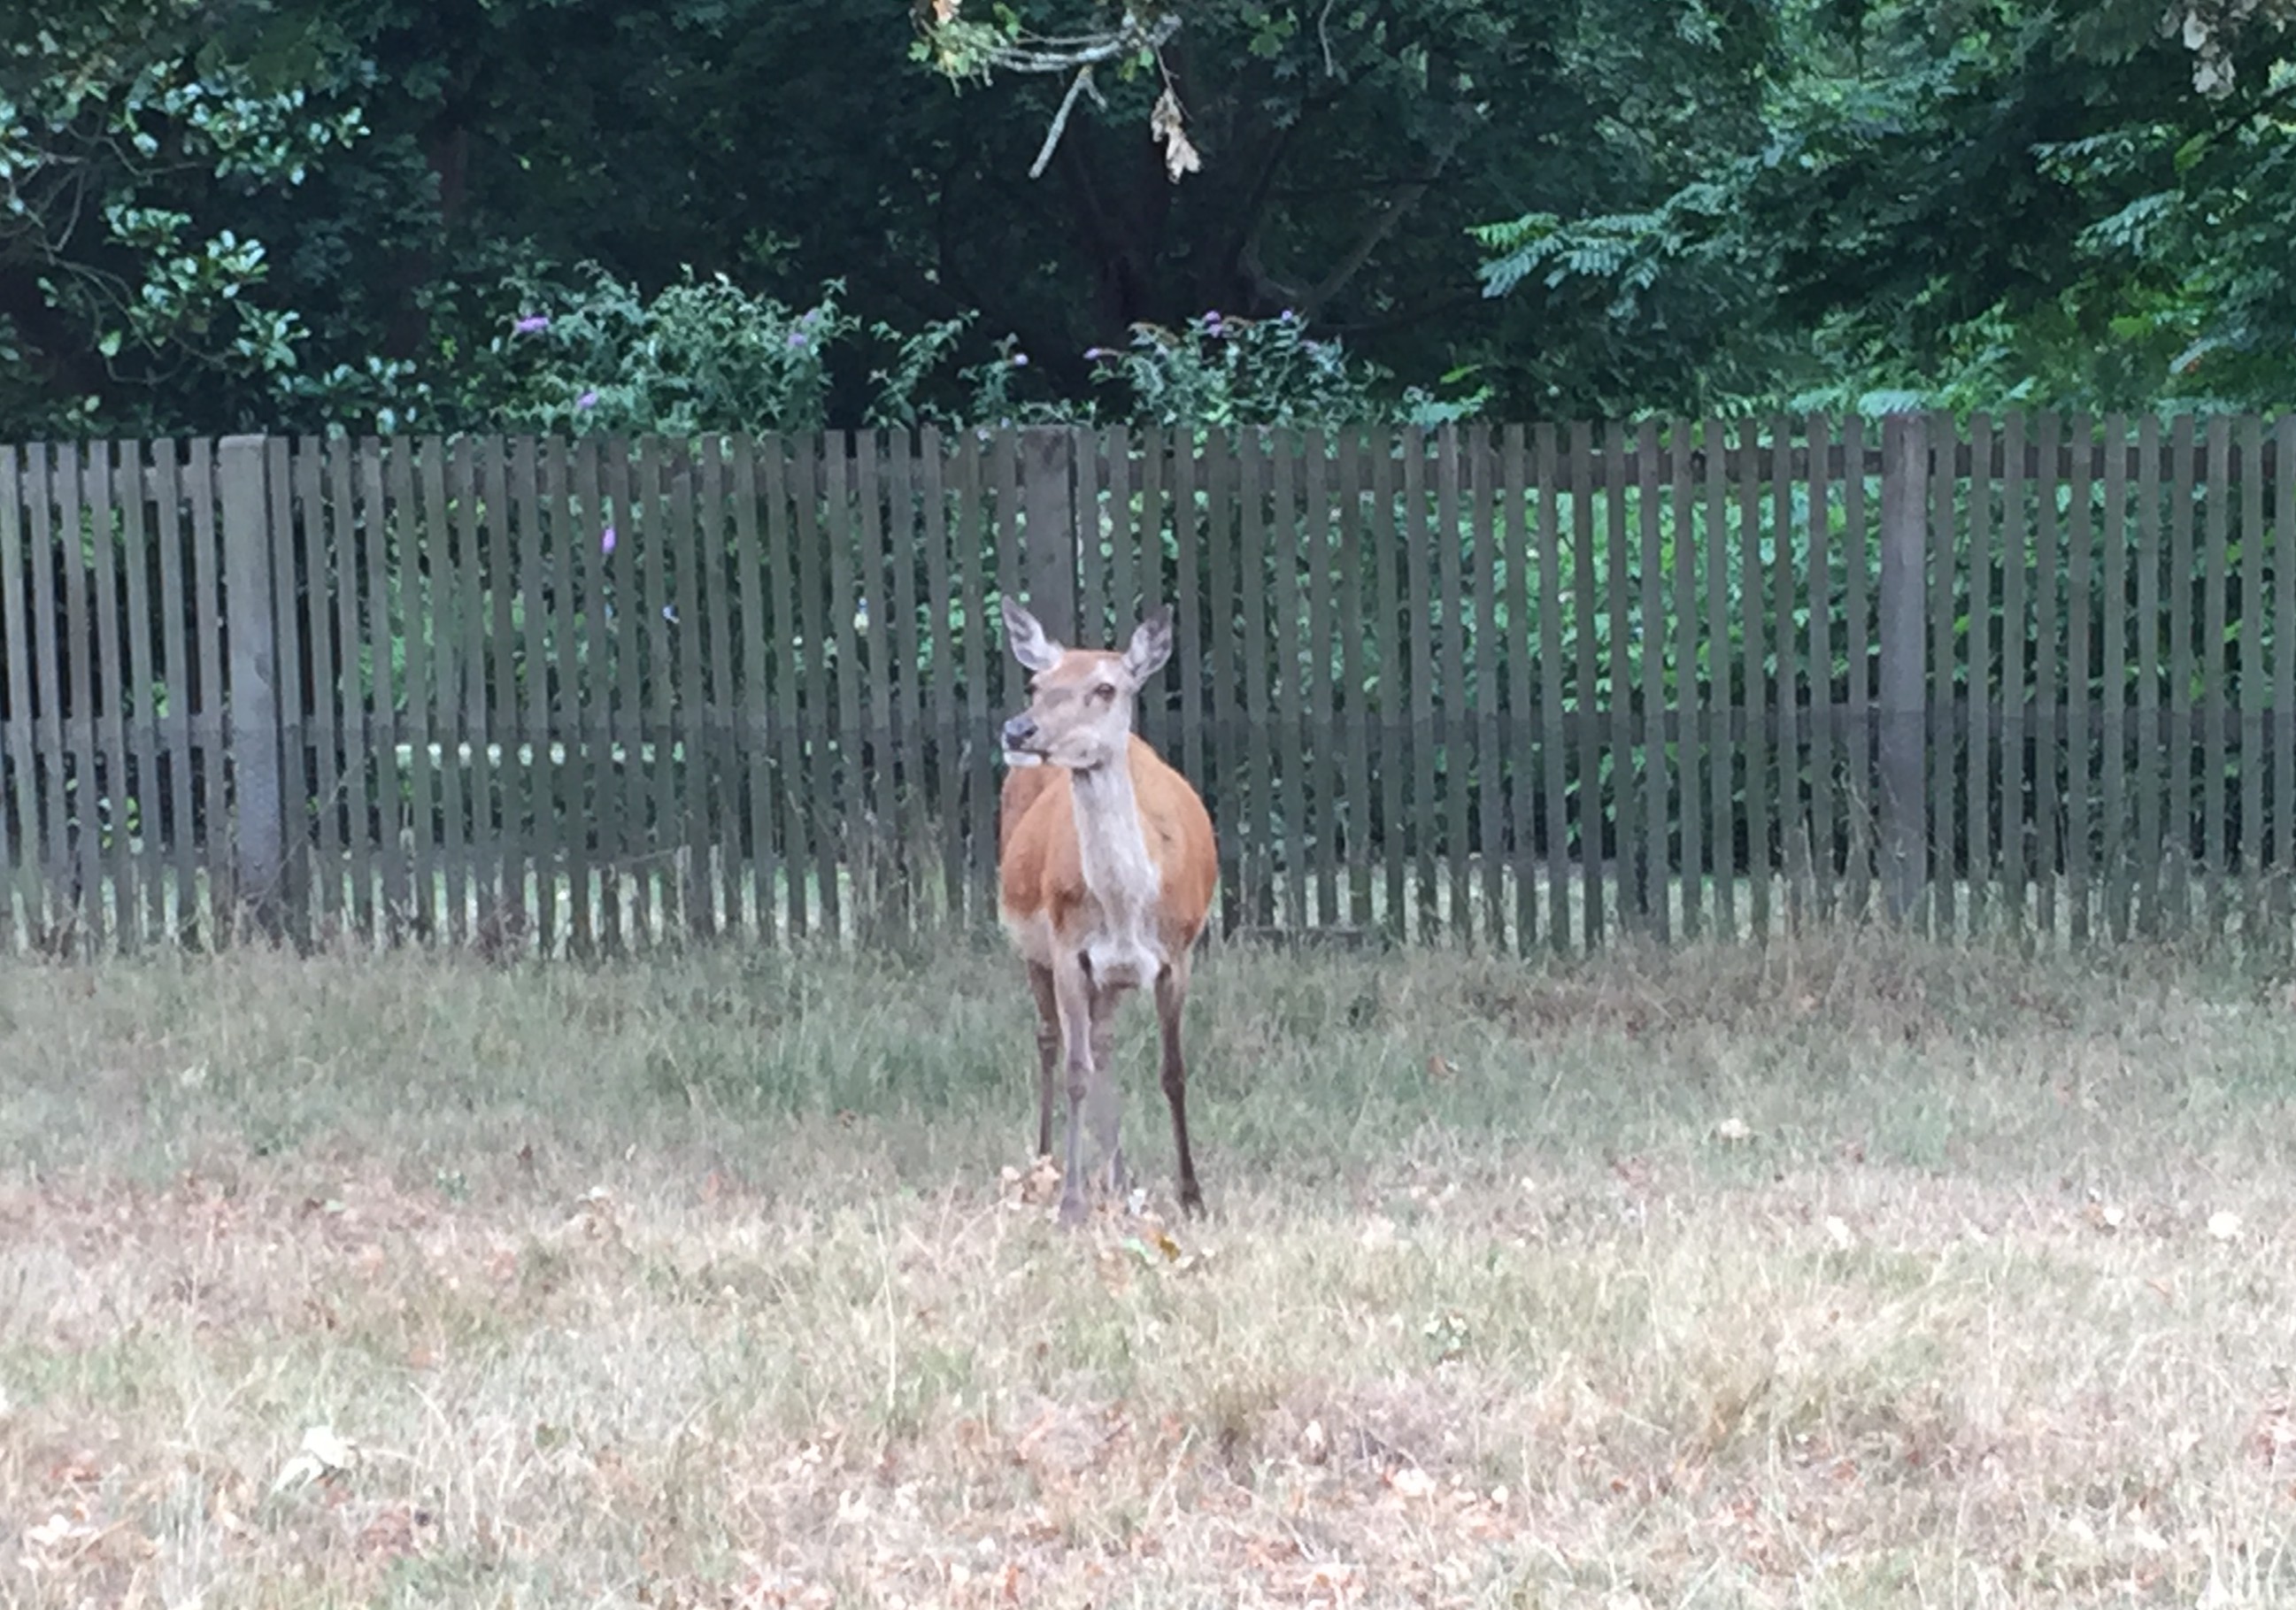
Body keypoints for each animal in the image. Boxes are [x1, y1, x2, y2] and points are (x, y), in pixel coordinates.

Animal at [1000, 597, 1230, 1221]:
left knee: (1103, 1045)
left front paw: (1192, 1195)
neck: (1127, 909)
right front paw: (1071, 1205)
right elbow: (1076, 1071)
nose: (1018, 729)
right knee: (1050, 1039)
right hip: (1031, 946)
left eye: (1106, 688)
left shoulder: (1177, 954)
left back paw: (1121, 1181)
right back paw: (1046, 1163)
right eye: (1036, 683)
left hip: (1113, 978)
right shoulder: (1068, 949)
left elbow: (1172, 1072)